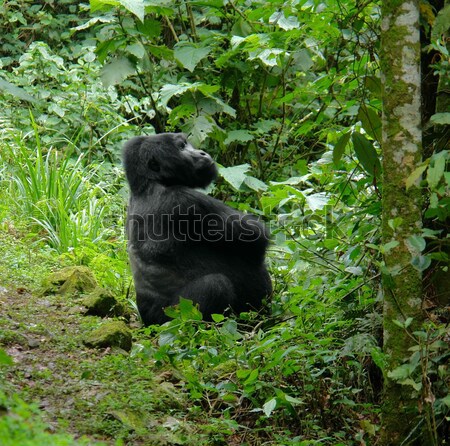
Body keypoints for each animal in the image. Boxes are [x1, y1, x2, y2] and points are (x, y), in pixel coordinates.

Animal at [121, 132, 272, 324]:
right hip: (168, 318)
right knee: (215, 285)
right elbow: (256, 237)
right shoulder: (185, 201)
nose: (202, 153)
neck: (147, 184)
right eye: (181, 147)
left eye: (187, 144)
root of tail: (147, 321)